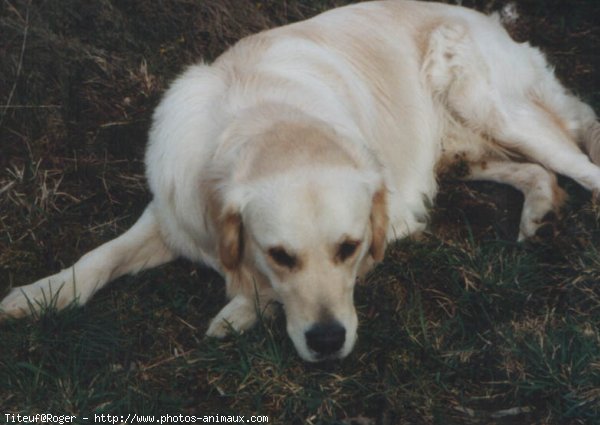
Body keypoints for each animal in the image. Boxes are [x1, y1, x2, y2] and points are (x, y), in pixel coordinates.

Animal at [1, 1, 600, 362]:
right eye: (281, 254)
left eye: (349, 249)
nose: (328, 341)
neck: (270, 116)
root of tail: (487, 19)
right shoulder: (175, 213)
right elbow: (98, 258)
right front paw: (39, 295)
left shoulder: (390, 218)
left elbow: (256, 290)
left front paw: (240, 312)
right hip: (464, 152)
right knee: (538, 172)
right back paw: (539, 216)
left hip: (497, 111)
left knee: (580, 165)